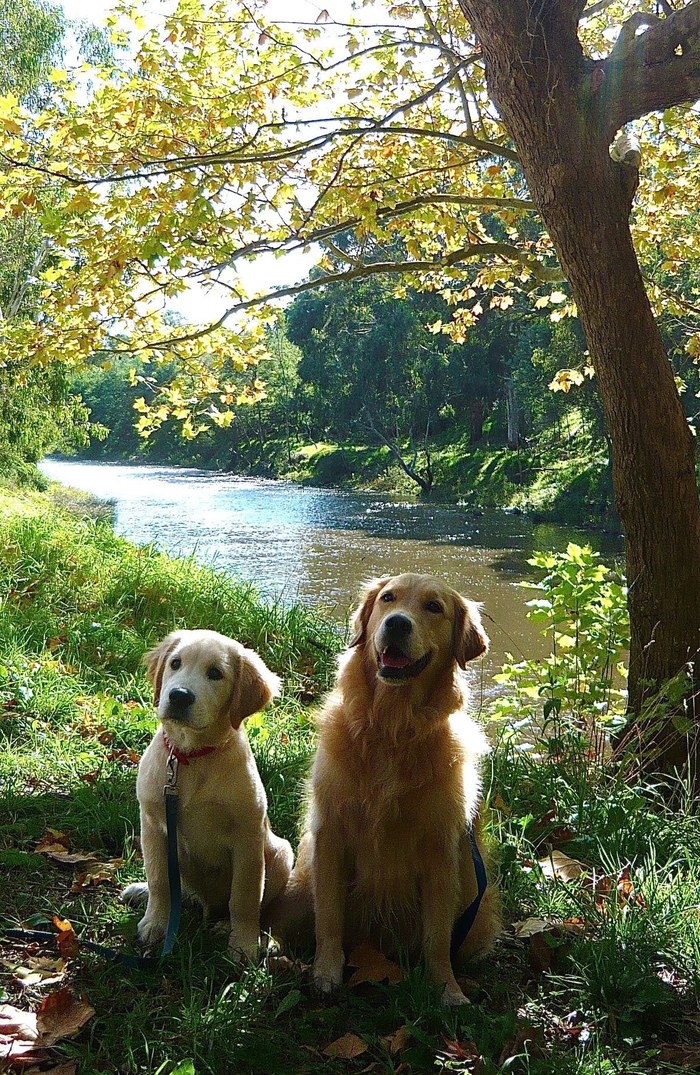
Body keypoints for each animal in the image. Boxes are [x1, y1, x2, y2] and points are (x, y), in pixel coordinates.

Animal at [123, 627, 292, 963]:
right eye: (175, 663)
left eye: (215, 674)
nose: (178, 695)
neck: (191, 756)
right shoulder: (153, 826)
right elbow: (160, 879)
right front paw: (155, 924)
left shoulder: (248, 838)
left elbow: (244, 897)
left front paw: (243, 945)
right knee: (178, 889)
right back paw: (142, 891)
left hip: (282, 853)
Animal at [270, 576, 501, 1001]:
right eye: (387, 598)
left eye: (434, 607)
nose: (396, 624)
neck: (391, 728)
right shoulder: (331, 836)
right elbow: (328, 919)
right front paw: (325, 972)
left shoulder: (440, 850)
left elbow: (437, 937)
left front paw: (447, 988)